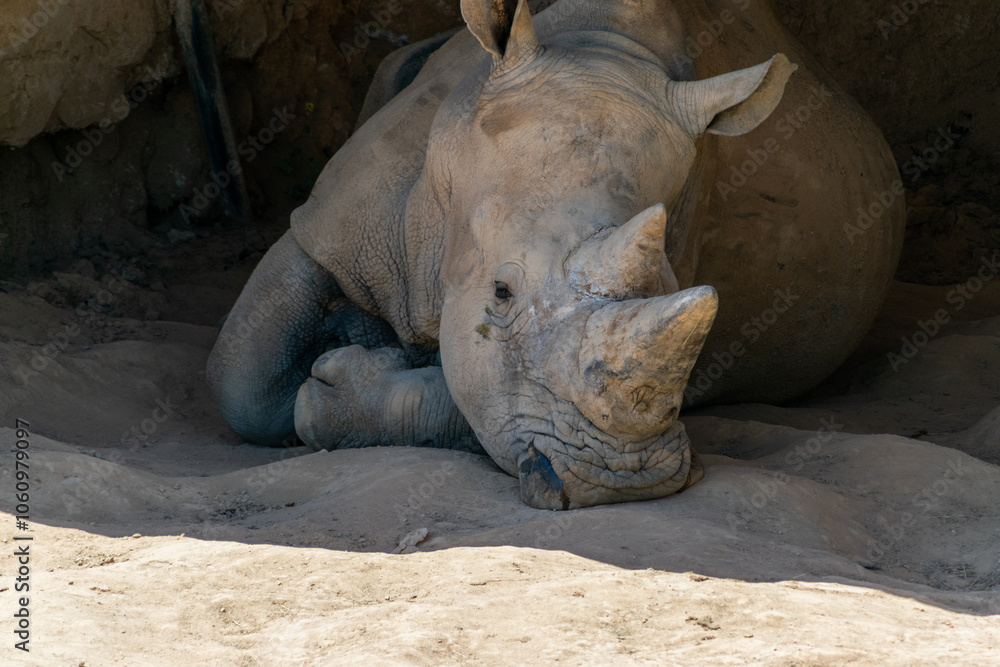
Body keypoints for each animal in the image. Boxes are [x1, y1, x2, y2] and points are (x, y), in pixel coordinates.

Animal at [207, 0, 904, 509]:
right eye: (501, 293)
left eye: (670, 282)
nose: (622, 481)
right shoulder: (324, 230)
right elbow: (243, 381)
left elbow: (477, 396)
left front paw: (341, 384)